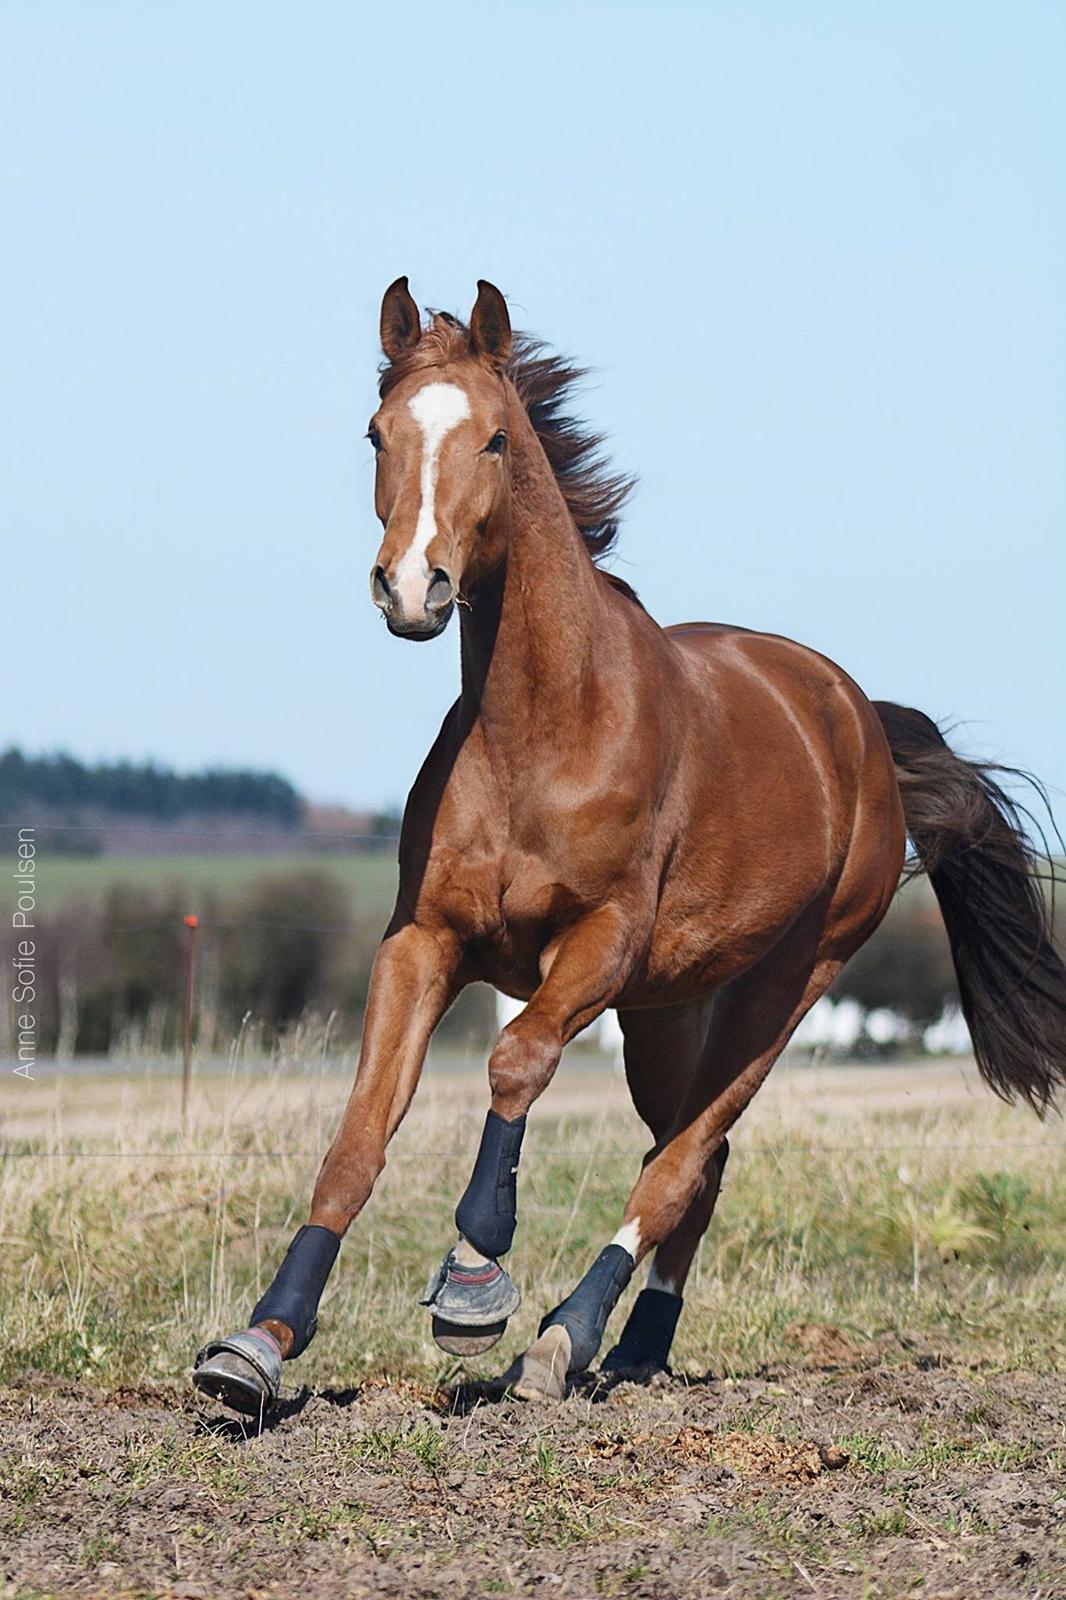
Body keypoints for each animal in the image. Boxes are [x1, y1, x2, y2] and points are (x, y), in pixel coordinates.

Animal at [195, 281, 1062, 1408]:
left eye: (495, 437)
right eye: (378, 433)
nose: (413, 589)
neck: (543, 729)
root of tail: (861, 720)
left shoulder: (599, 943)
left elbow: (517, 1060)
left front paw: (473, 1285)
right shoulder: (423, 941)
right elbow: (360, 1132)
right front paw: (259, 1344)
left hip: (788, 983)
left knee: (685, 1157)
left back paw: (562, 1338)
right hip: (667, 1009)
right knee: (696, 1155)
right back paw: (638, 1346)